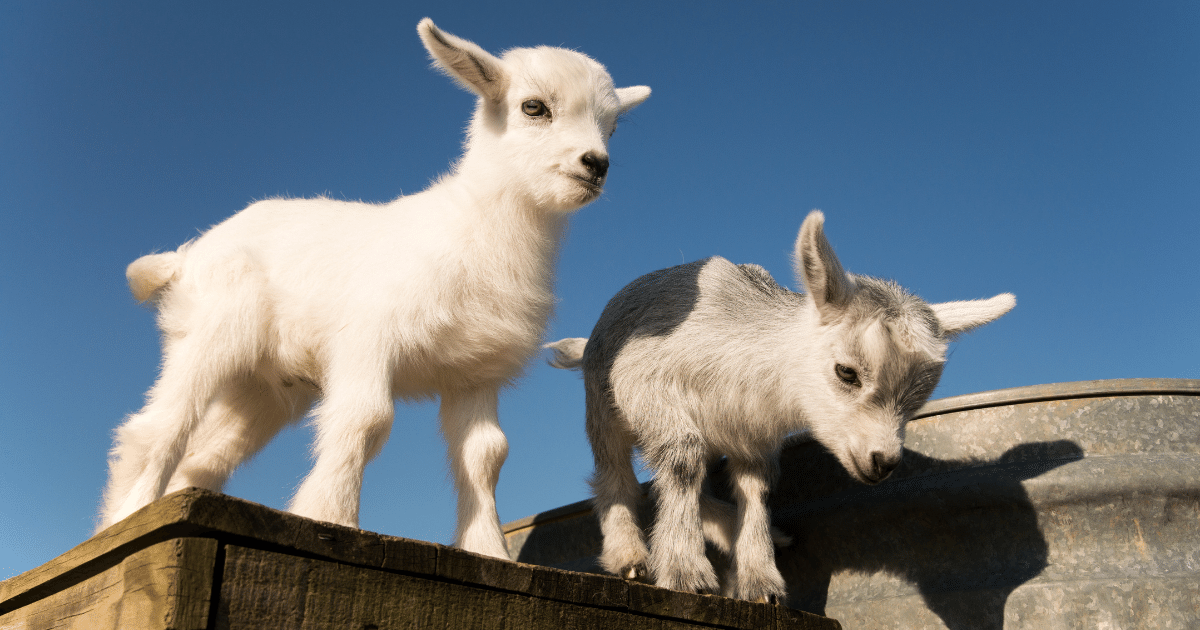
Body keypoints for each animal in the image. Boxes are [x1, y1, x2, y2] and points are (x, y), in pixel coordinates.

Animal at [98, 18, 650, 560]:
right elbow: (365, 420)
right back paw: (126, 520)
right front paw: (331, 515)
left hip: (263, 389)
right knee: (157, 428)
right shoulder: (368, 340)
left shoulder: (475, 372)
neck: (469, 225)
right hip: (211, 330)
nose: (595, 164)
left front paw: (488, 550)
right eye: (533, 107)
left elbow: (487, 454)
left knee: (203, 457)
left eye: (612, 126)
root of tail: (186, 254)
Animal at [546, 210, 1014, 601]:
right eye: (846, 373)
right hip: (602, 406)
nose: (883, 462)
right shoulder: (646, 383)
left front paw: (760, 581)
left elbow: (755, 487)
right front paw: (685, 572)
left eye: (918, 398)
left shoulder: (753, 435)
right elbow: (682, 461)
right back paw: (629, 556)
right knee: (615, 473)